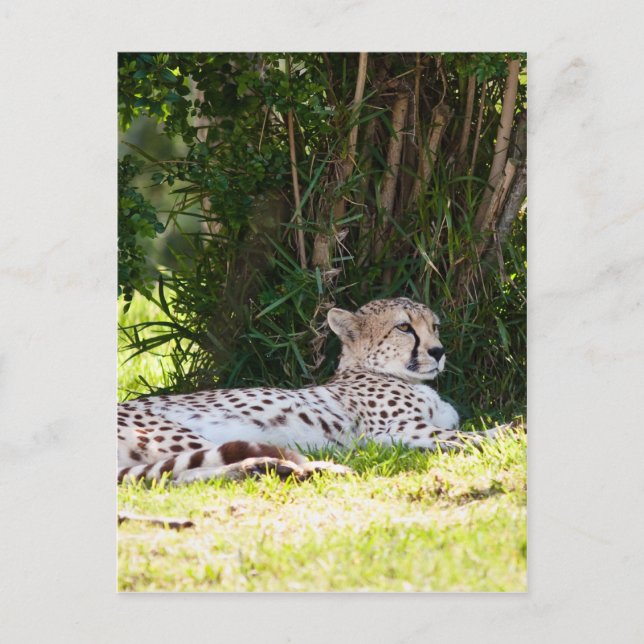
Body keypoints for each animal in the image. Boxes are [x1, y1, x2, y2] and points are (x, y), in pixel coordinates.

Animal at [118, 297, 502, 484]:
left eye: (434, 326)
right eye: (405, 328)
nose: (438, 351)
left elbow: (466, 431)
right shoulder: (392, 432)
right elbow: (471, 436)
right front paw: (508, 433)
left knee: (169, 478)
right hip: (174, 433)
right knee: (185, 470)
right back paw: (306, 467)